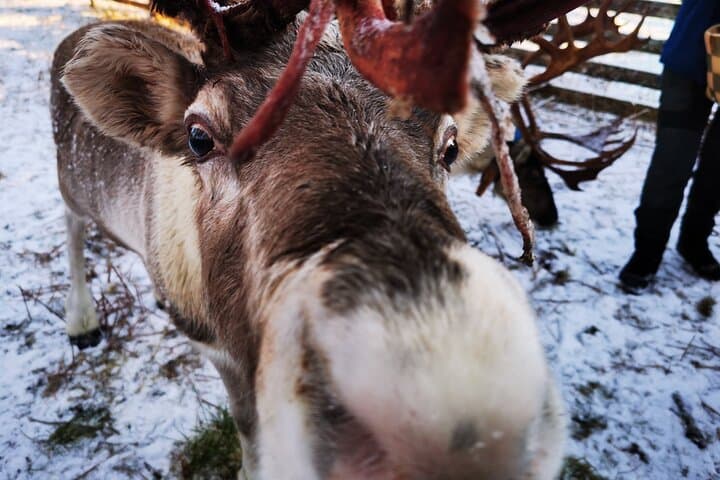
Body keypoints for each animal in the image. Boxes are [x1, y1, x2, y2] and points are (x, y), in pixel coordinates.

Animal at [50, 1, 574, 478]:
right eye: (198, 137)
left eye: (450, 146)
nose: (435, 431)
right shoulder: (215, 348)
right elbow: (249, 433)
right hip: (70, 185)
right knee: (72, 228)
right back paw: (81, 321)